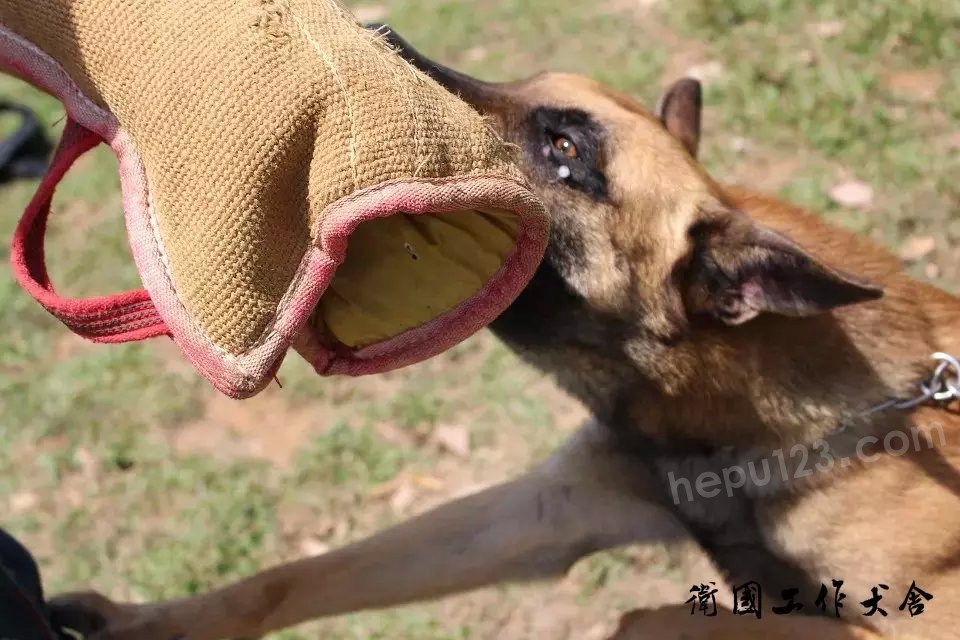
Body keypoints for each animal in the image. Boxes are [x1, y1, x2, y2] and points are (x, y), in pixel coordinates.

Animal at [54, 26, 960, 640]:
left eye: (564, 149)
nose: (377, 34)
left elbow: (654, 616)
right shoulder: (549, 508)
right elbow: (297, 576)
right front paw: (143, 620)